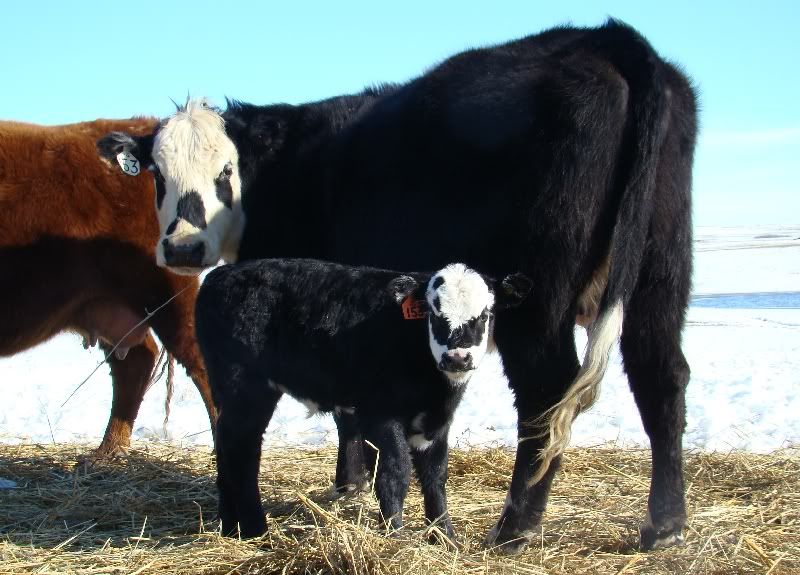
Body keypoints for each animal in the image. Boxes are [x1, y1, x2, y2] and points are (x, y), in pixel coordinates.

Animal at [195, 258, 531, 539]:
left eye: (485, 314)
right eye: (434, 314)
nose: (457, 357)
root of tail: (220, 275)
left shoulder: (437, 423)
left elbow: (436, 475)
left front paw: (444, 536)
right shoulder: (378, 413)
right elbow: (396, 470)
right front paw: (394, 534)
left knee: (225, 445)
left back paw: (229, 526)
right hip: (248, 388)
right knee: (242, 452)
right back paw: (256, 530)